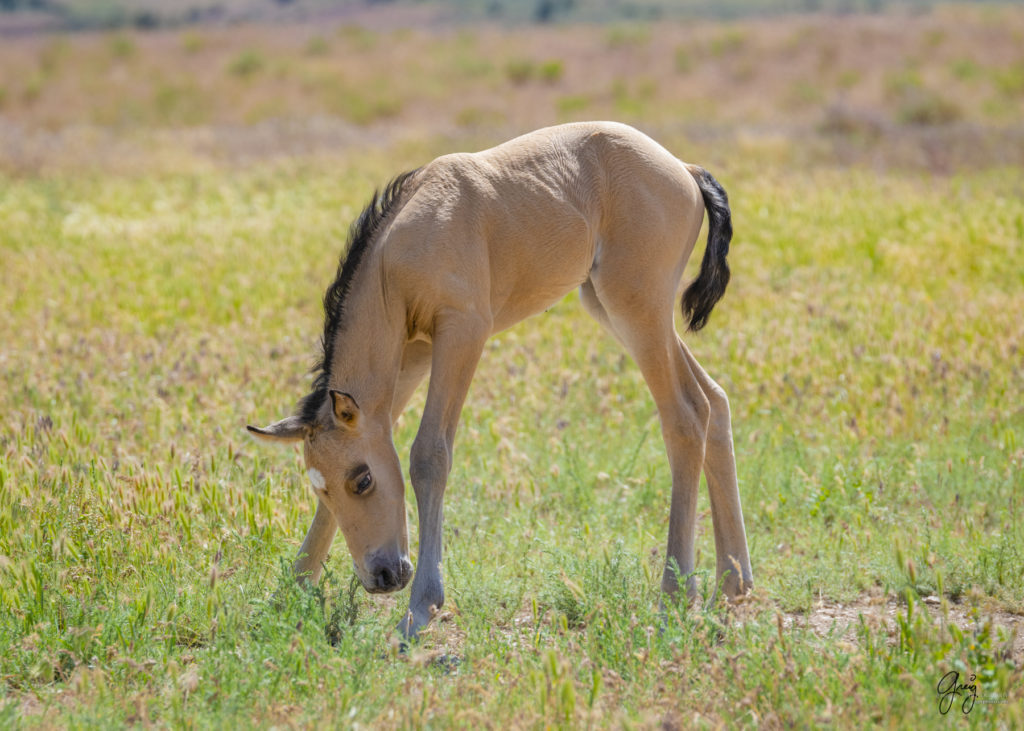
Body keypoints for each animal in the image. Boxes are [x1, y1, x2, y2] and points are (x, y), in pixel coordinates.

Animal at [247, 122, 753, 634]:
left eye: (362, 480)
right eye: (323, 489)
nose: (383, 577)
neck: (401, 250)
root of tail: (684, 169)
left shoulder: (462, 333)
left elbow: (429, 454)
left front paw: (421, 607)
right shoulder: (413, 352)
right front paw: (289, 593)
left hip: (637, 308)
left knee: (684, 417)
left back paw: (675, 595)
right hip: (611, 307)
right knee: (713, 400)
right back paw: (732, 583)